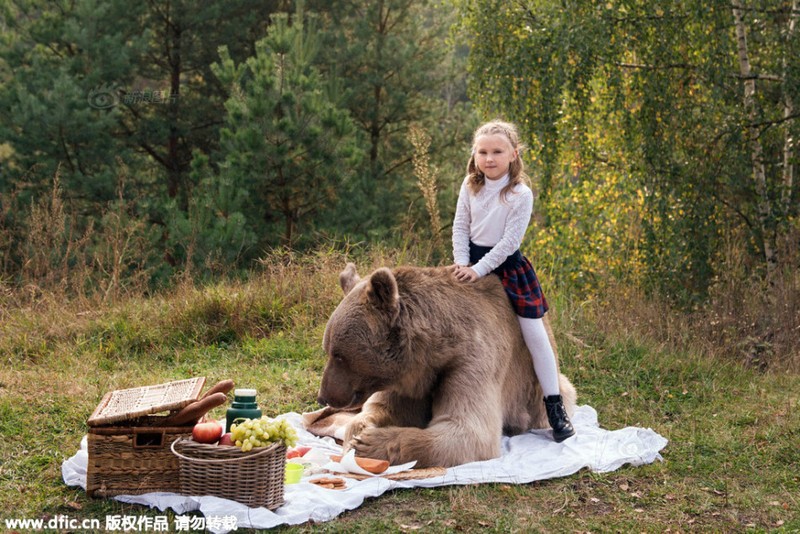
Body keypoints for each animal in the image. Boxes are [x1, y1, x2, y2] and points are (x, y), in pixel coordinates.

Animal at [318, 264, 576, 468]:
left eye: (339, 355)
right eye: (328, 349)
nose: (323, 397)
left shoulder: (472, 359)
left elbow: (468, 430)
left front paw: (369, 443)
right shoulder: (407, 380)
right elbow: (381, 409)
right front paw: (358, 434)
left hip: (534, 389)